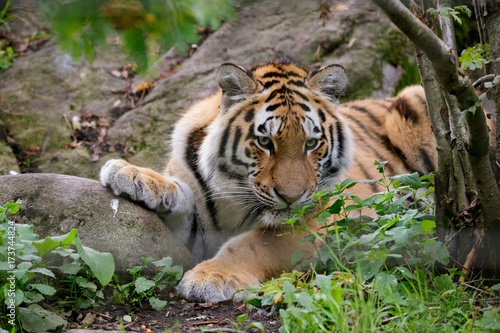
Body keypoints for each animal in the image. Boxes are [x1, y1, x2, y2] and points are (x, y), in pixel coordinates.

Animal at [101, 59, 438, 300]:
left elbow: (252, 244)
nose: (291, 196)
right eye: (265, 142)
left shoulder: (313, 224)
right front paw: (130, 174)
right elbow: (178, 195)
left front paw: (210, 278)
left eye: (311, 143)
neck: (232, 198)